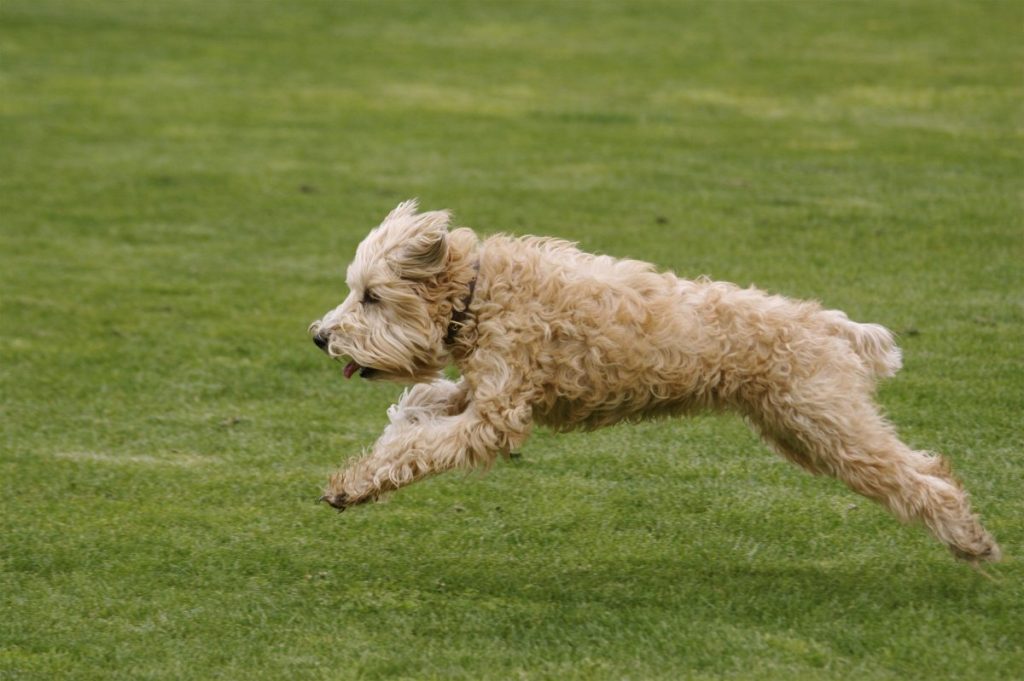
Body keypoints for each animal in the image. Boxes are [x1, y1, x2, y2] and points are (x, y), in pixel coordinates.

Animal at [309, 199, 999, 561]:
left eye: (370, 296)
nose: (319, 335)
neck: (481, 294)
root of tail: (825, 323)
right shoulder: (482, 389)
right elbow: (423, 404)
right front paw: (380, 450)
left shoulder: (497, 413)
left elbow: (424, 443)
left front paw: (355, 483)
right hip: (805, 432)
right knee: (923, 465)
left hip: (826, 426)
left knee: (916, 481)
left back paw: (972, 542)